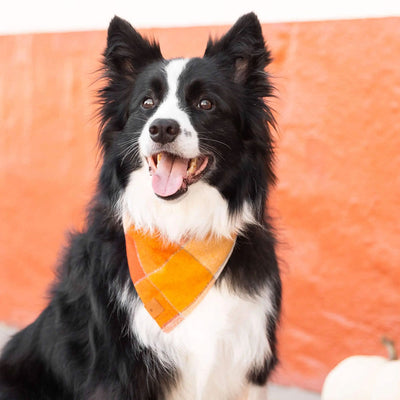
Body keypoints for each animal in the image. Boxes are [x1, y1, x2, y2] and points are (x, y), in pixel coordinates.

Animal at [0, 12, 282, 400]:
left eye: (206, 104)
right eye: (147, 103)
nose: (162, 128)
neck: (180, 231)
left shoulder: (246, 368)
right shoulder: (120, 374)